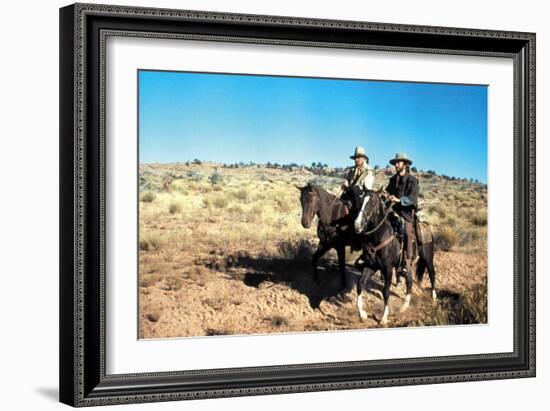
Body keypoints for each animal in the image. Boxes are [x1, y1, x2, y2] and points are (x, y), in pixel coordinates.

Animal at [356, 189, 438, 326]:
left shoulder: (388, 269)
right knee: (409, 281)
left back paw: (433, 296)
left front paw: (384, 318)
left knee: (432, 273)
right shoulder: (370, 265)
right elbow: (360, 285)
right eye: (360, 200)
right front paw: (362, 315)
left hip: (428, 258)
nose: (357, 225)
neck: (380, 236)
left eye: (372, 202)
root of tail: (426, 227)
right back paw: (405, 306)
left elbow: (386, 292)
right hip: (408, 265)